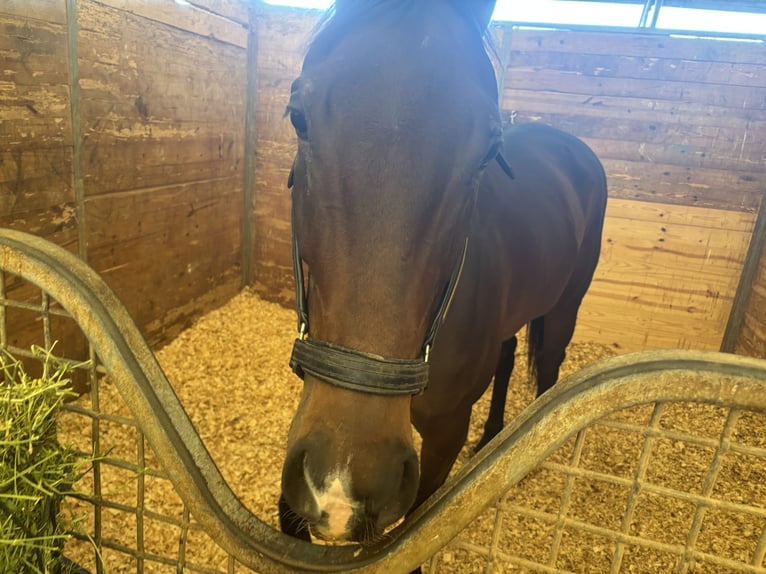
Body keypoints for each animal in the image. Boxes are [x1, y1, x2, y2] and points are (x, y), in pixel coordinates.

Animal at [278, 0, 608, 549]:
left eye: (488, 149)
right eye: (298, 115)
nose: (342, 487)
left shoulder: (443, 437)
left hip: (566, 308)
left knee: (549, 370)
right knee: (508, 357)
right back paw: (493, 435)